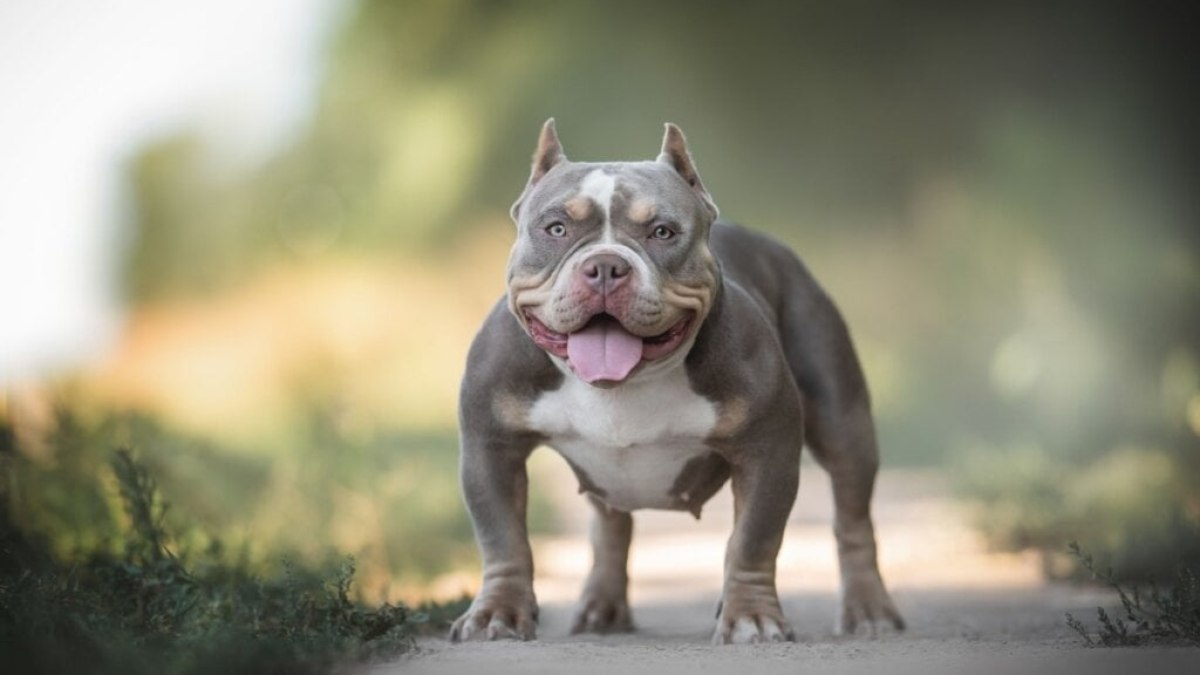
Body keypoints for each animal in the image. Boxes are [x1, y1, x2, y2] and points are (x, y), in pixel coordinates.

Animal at [448, 119, 902, 638]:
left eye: (662, 232)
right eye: (556, 228)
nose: (605, 265)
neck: (626, 384)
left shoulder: (768, 453)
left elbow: (753, 541)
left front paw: (751, 616)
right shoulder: (491, 450)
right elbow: (503, 540)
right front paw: (497, 612)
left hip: (843, 422)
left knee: (853, 516)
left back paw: (868, 608)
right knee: (610, 527)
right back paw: (601, 607)